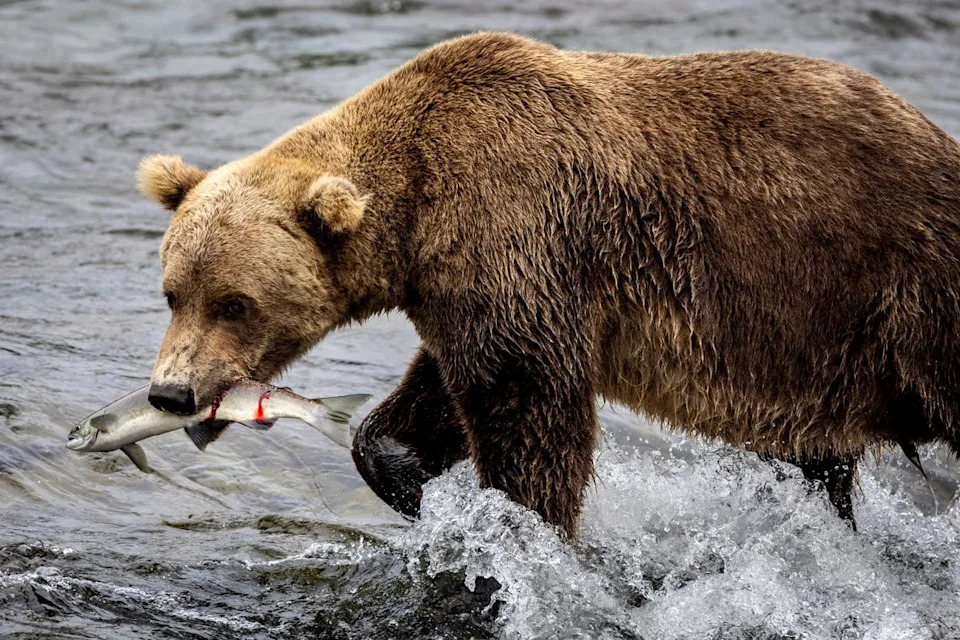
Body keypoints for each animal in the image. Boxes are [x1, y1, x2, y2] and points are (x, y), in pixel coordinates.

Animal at [138, 32, 960, 538]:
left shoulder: (522, 226)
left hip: (899, 290)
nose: (170, 392)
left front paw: (525, 527)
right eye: (173, 292)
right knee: (817, 458)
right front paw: (406, 474)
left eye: (234, 303)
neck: (417, 208)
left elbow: (531, 411)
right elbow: (441, 394)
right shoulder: (470, 285)